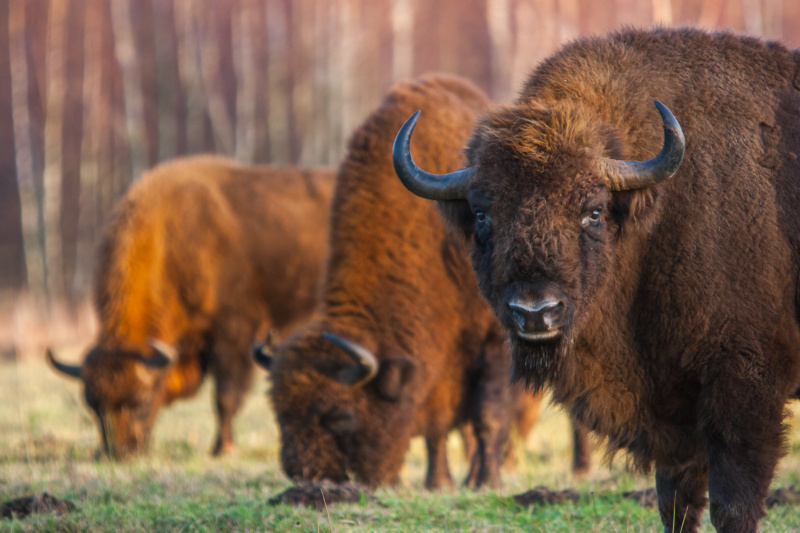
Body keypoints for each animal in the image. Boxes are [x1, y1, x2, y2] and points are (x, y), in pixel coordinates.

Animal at [47, 154, 334, 458]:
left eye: (140, 401)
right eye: (93, 406)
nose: (118, 453)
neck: (175, 238)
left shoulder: (235, 335)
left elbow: (225, 397)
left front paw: (223, 448)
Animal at [256, 75, 588, 490]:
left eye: (340, 416)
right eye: (279, 415)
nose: (306, 476)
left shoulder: (494, 343)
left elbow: (488, 416)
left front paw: (487, 482)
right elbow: (438, 425)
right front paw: (439, 482)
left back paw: (579, 468)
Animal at [396, 28, 800, 532]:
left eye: (592, 210)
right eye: (482, 214)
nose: (536, 313)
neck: (657, 213)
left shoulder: (747, 384)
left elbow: (733, 503)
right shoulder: (671, 404)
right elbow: (676, 500)